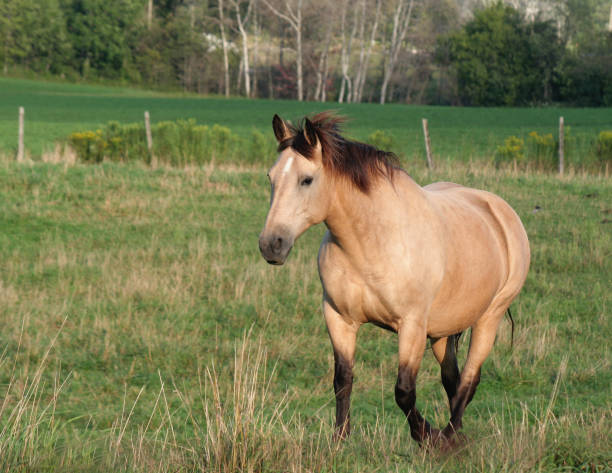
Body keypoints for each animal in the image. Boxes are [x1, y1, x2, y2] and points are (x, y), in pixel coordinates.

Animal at [258, 111, 532, 446]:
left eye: (306, 180)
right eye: (271, 177)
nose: (271, 244)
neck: (371, 243)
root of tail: (501, 212)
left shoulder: (411, 326)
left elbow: (403, 391)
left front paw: (426, 436)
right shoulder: (338, 318)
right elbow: (343, 379)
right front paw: (340, 439)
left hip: (488, 318)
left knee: (469, 380)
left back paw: (449, 437)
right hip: (442, 330)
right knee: (453, 380)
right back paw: (455, 436)